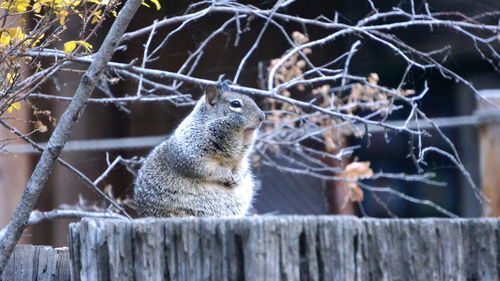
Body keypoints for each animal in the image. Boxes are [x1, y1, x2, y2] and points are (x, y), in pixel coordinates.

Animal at [133, 81, 266, 217]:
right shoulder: (192, 156)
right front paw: (226, 174)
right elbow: (208, 170)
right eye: (235, 104)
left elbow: (242, 169)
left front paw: (237, 177)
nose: (263, 116)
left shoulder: (241, 160)